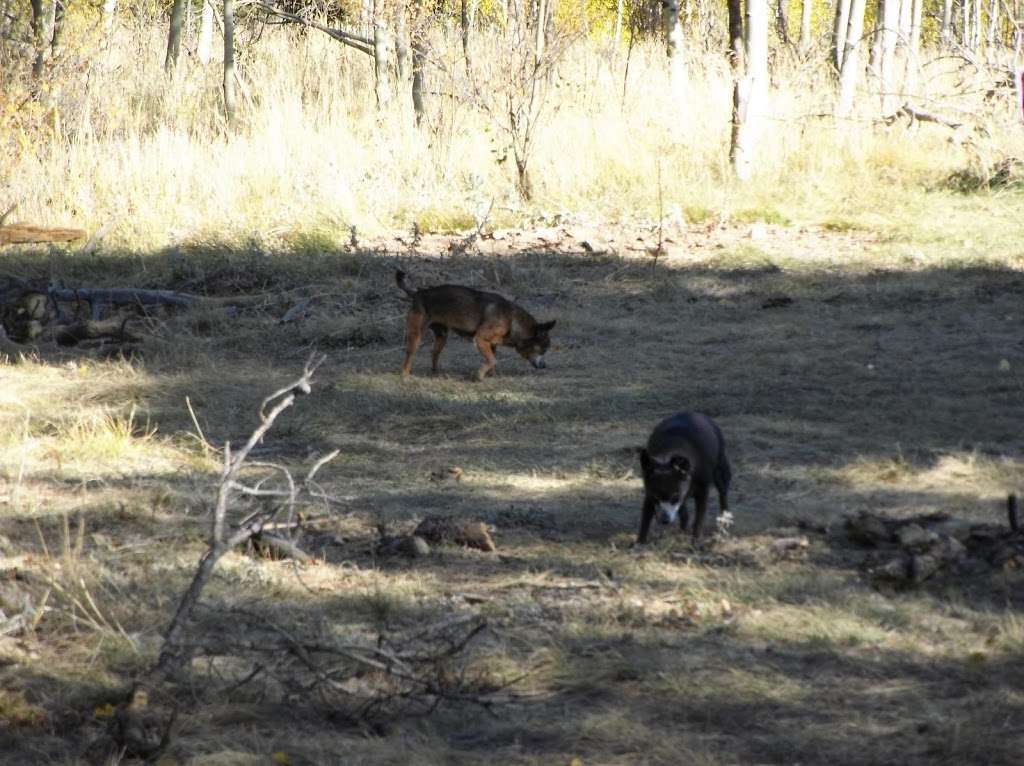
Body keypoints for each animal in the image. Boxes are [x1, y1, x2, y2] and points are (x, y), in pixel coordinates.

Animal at [397, 268, 557, 380]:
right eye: (543, 349)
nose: (545, 366)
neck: (511, 319)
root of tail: (418, 293)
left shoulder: (492, 345)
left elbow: (493, 361)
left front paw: (491, 375)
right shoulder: (480, 339)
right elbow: (492, 360)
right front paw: (479, 376)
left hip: (442, 336)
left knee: (434, 353)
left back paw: (437, 373)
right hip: (416, 334)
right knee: (409, 355)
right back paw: (405, 375)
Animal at [634, 413, 733, 544]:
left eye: (675, 497)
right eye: (656, 498)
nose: (664, 520)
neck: (667, 455)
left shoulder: (702, 492)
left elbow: (699, 518)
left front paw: (695, 540)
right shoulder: (649, 493)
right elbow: (645, 517)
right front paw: (640, 542)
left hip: (721, 470)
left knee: (723, 493)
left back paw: (724, 518)